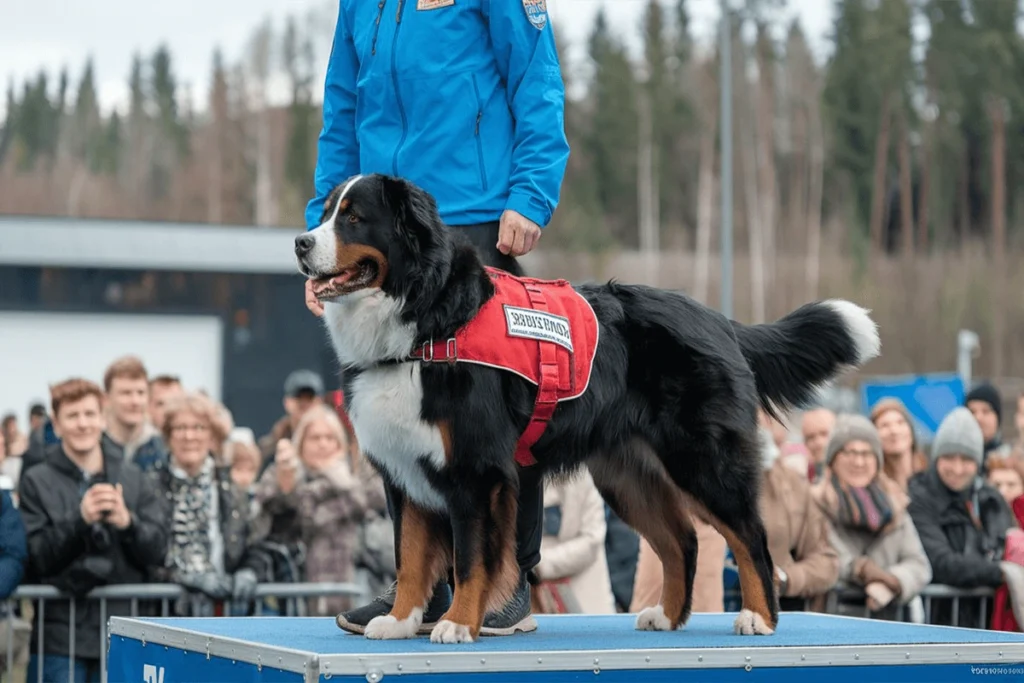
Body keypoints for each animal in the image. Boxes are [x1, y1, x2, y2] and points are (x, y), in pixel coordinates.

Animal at [296, 174, 880, 643]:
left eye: (354, 217)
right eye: (324, 213)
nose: (301, 242)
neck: (429, 319)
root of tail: (719, 319)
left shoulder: (475, 472)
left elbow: (469, 557)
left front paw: (458, 623)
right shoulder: (407, 469)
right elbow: (413, 556)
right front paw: (398, 620)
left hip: (702, 462)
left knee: (750, 536)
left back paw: (758, 618)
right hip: (627, 476)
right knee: (682, 541)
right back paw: (667, 616)